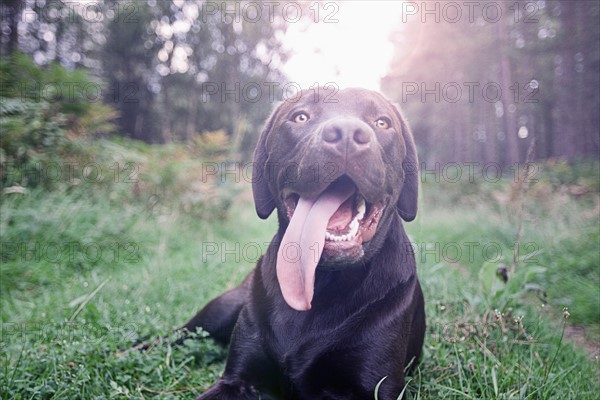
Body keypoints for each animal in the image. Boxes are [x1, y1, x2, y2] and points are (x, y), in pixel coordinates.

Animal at [185, 88, 424, 400]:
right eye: (300, 117)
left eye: (382, 122)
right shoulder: (238, 380)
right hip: (220, 310)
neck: (318, 283)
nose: (347, 133)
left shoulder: (376, 386)